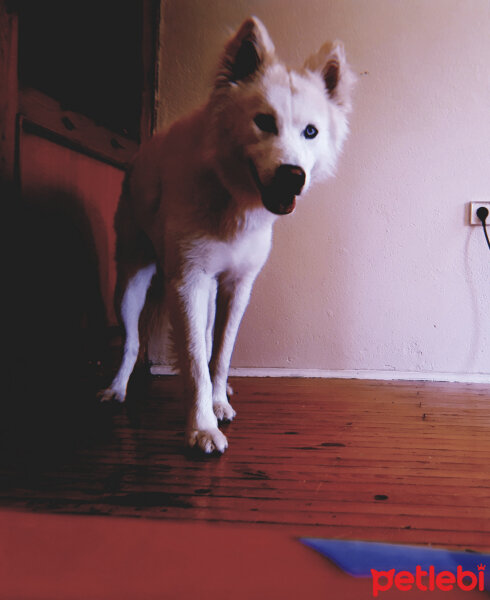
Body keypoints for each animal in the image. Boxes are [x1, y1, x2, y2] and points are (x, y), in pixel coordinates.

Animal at [99, 16, 354, 452]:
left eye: (311, 132)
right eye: (264, 121)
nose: (293, 175)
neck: (232, 198)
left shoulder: (236, 287)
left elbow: (219, 355)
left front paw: (218, 403)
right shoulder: (188, 282)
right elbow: (195, 361)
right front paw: (202, 426)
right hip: (130, 283)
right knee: (132, 342)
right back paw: (116, 390)